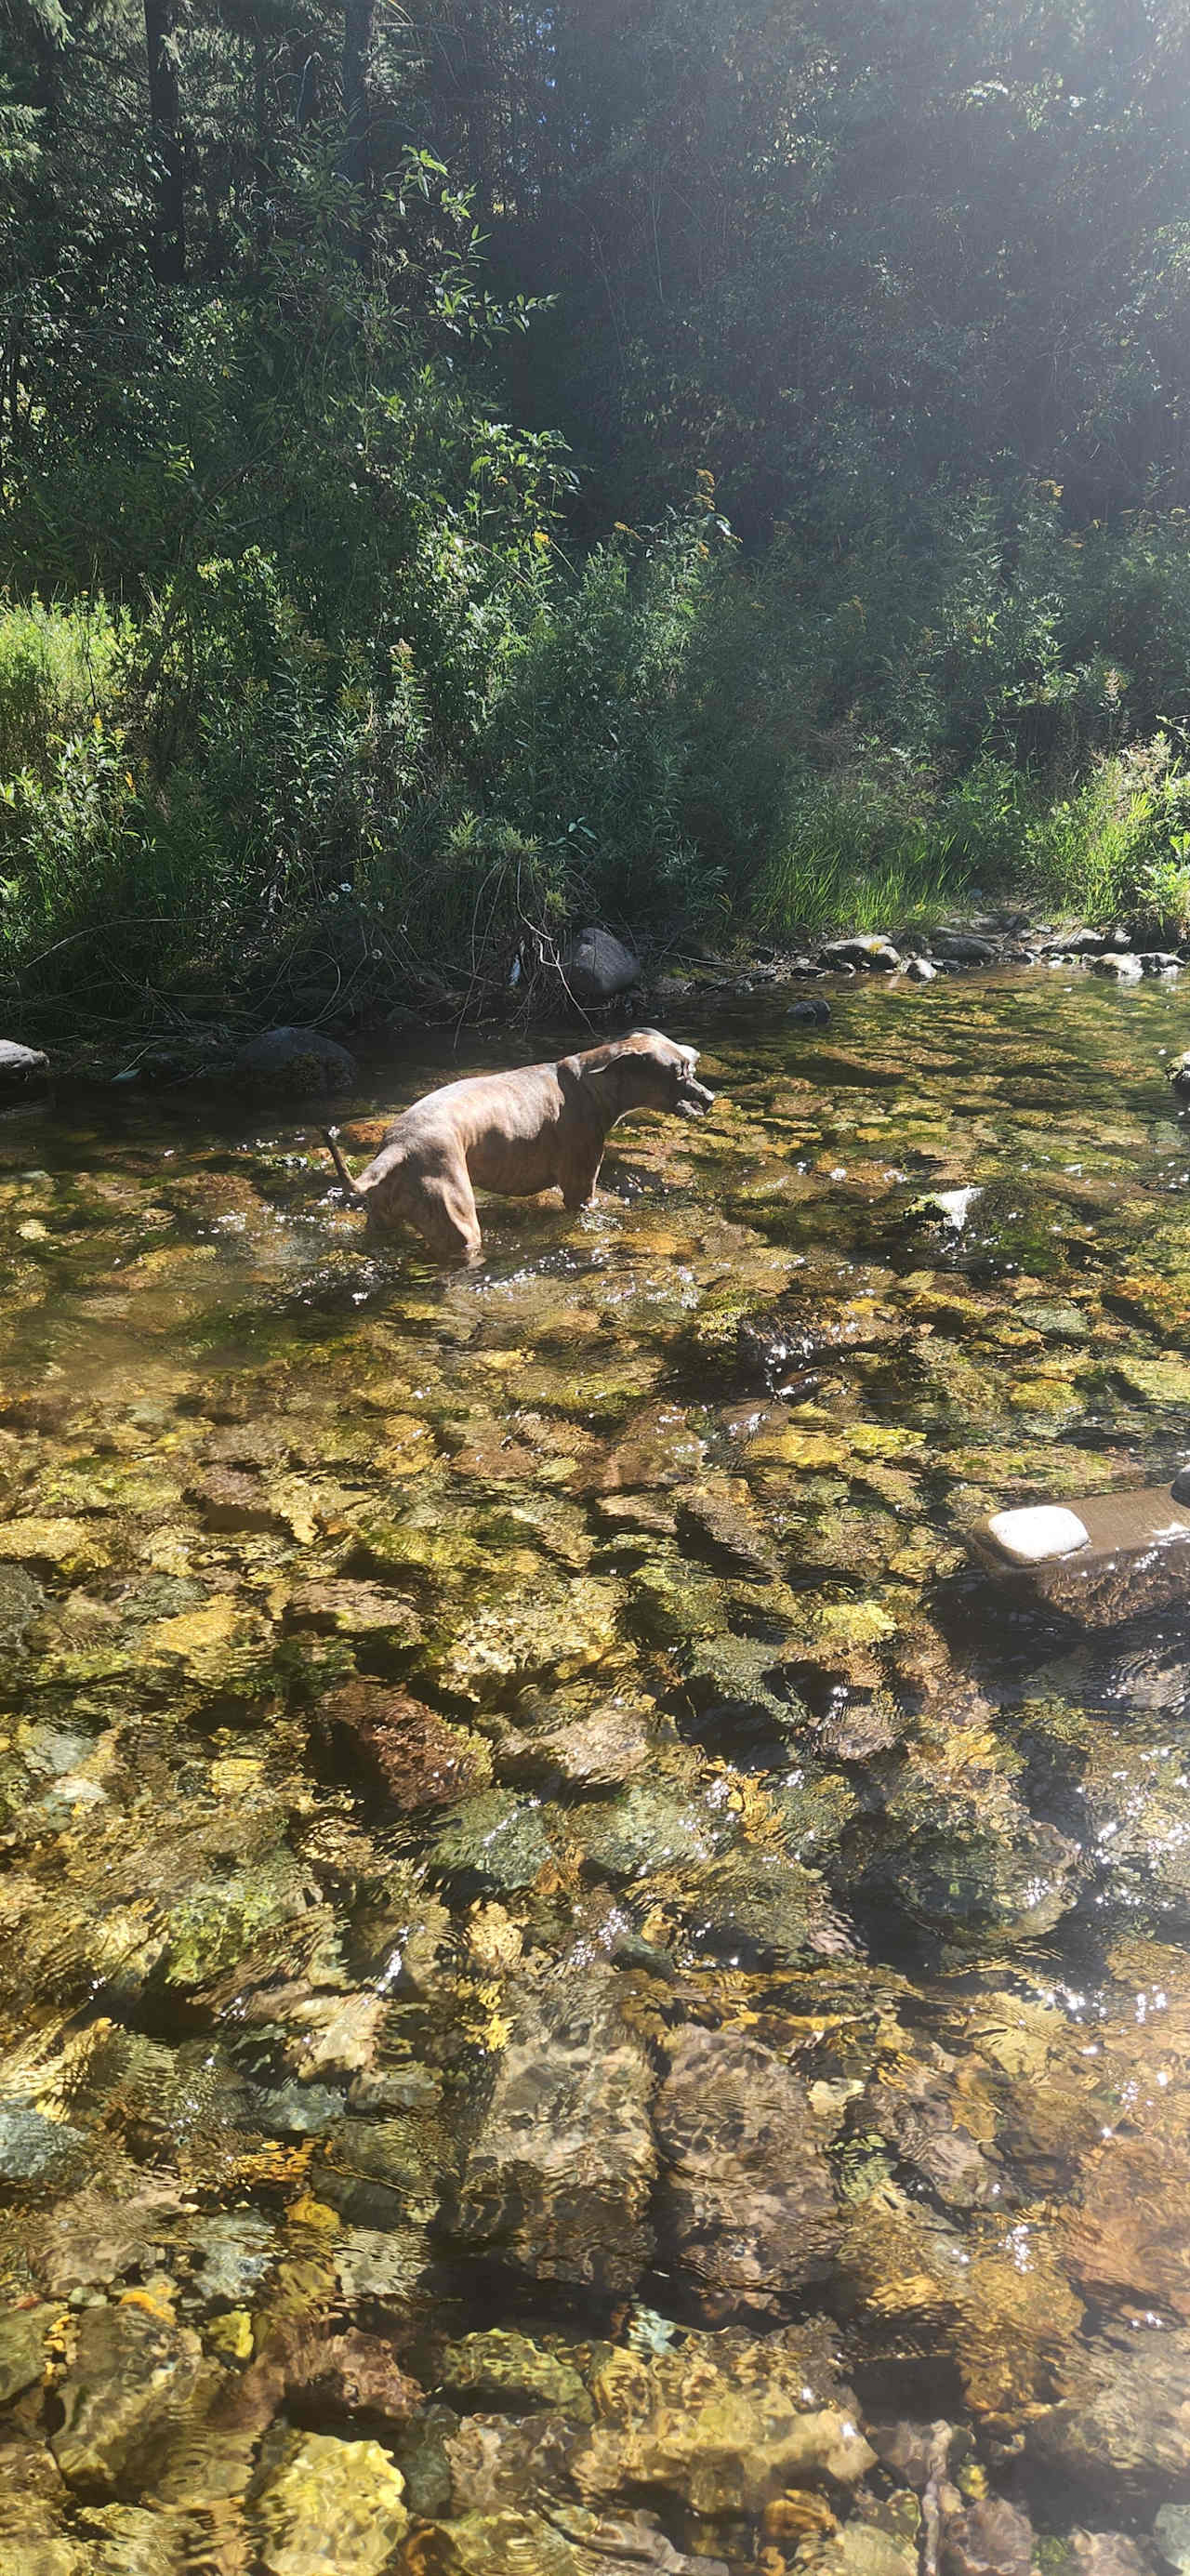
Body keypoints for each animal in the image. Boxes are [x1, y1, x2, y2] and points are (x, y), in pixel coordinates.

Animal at [325, 1030, 710, 1262]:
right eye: (679, 1072)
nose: (710, 1098)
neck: (589, 1084)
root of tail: (398, 1148)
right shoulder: (580, 1190)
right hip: (458, 1224)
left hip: (381, 1218)